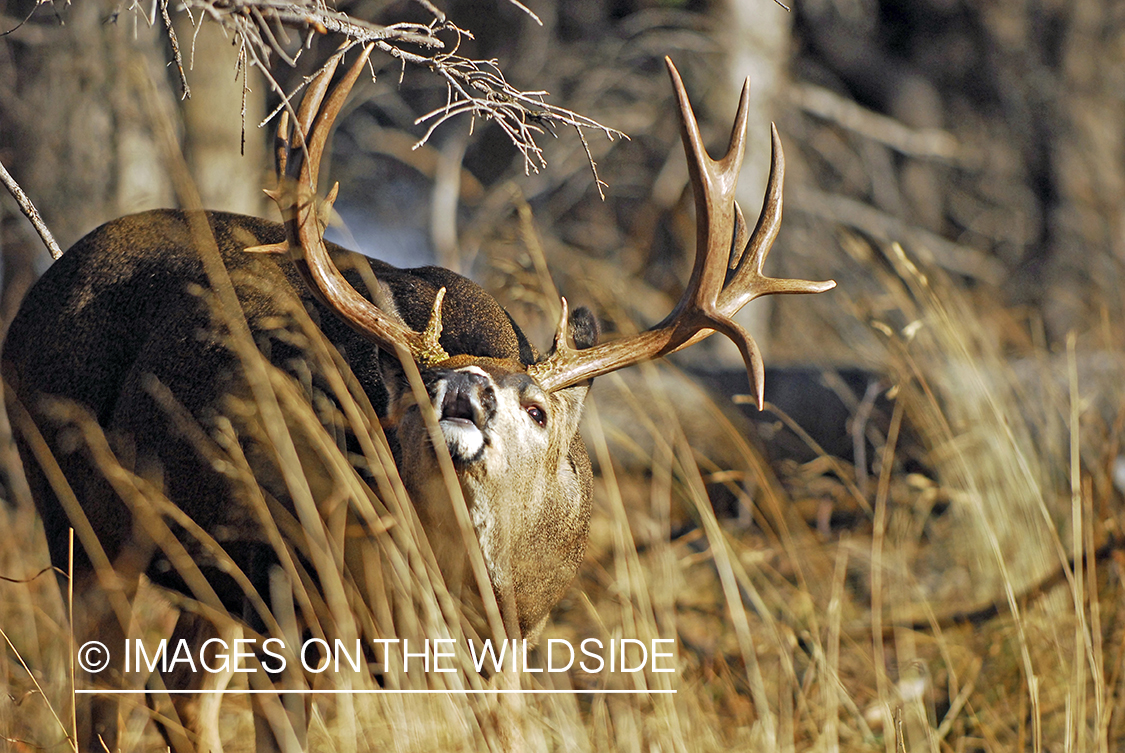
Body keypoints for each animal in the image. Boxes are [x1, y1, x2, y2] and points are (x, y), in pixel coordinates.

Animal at [2, 45, 833, 752]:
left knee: (169, 694)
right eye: (415, 391)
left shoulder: (505, 641)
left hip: (205, 576)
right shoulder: (295, 597)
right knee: (101, 695)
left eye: (536, 408)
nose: (465, 389)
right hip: (78, 518)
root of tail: (35, 298)